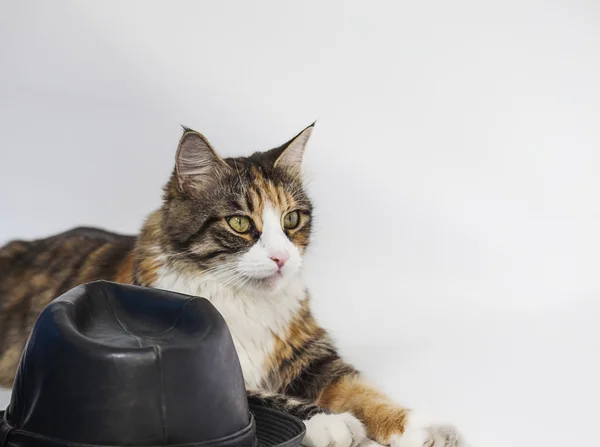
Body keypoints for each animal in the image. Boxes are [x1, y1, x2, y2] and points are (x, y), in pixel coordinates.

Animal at [0, 123, 464, 447]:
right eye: (241, 223)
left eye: (291, 219)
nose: (281, 258)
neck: (246, 301)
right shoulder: (230, 376)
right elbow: (273, 399)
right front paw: (331, 423)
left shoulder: (315, 360)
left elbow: (368, 394)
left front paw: (423, 427)